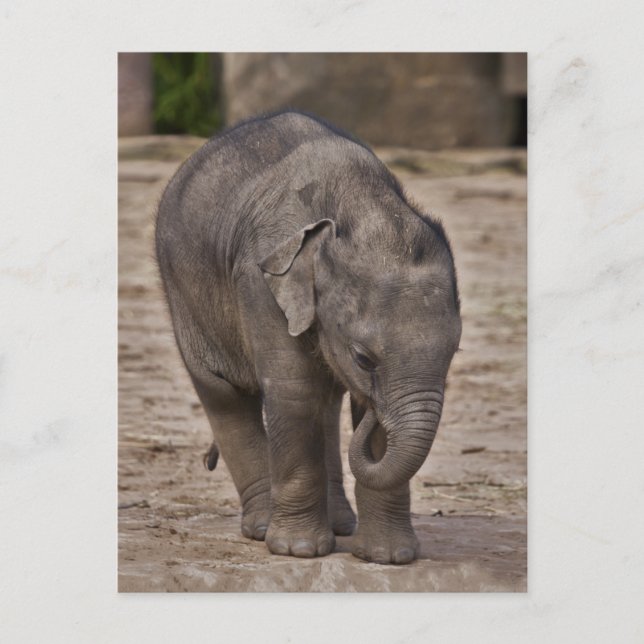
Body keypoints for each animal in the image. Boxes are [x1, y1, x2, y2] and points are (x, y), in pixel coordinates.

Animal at [155, 110, 461, 564]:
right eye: (363, 358)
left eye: (454, 352)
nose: (371, 395)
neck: (359, 205)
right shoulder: (259, 284)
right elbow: (294, 392)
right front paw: (298, 551)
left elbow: (372, 423)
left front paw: (387, 558)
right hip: (183, 293)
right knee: (224, 392)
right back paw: (262, 528)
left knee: (326, 405)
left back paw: (340, 526)